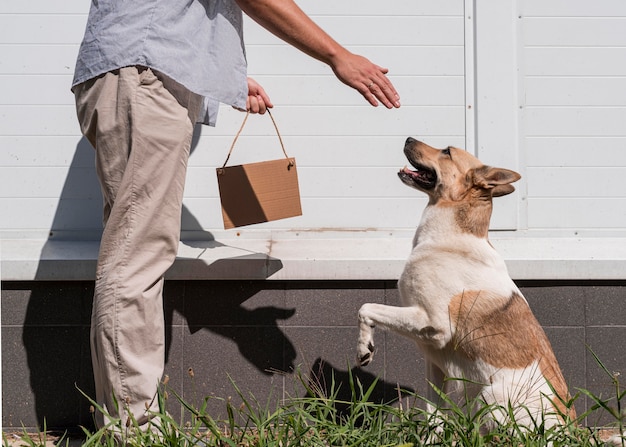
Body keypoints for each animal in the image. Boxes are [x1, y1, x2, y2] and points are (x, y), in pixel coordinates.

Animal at [354, 138, 572, 432]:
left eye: (447, 151)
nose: (408, 139)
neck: (449, 235)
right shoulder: (434, 362)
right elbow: (434, 416)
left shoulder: (433, 323)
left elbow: (366, 307)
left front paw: (364, 347)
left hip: (490, 397)